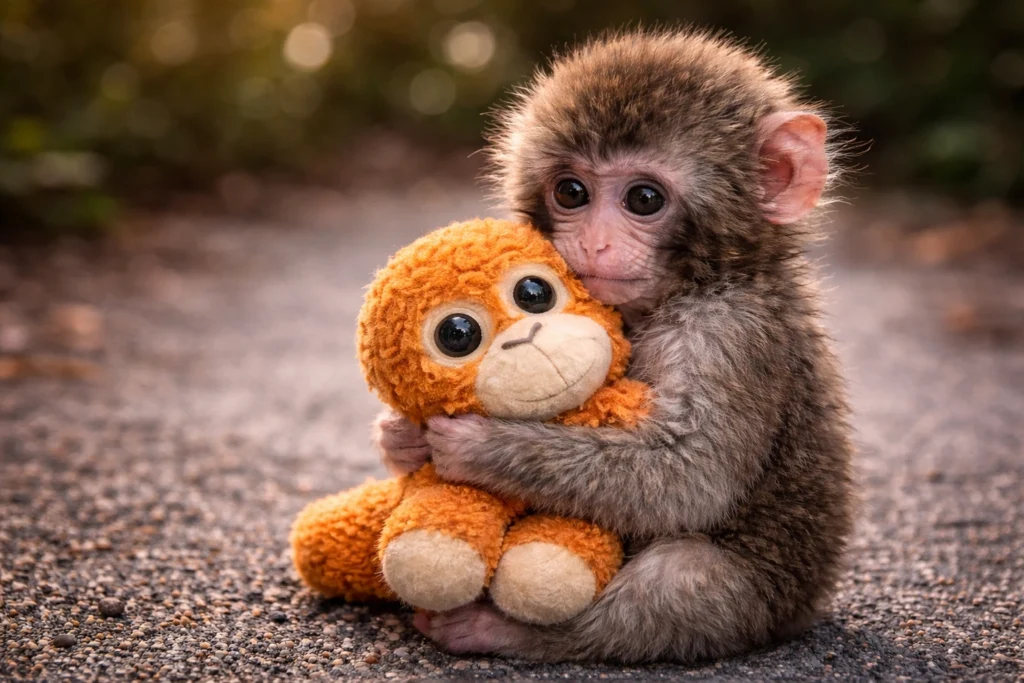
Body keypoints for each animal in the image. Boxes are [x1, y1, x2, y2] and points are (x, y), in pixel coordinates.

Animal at [374, 29, 855, 663]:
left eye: (644, 199)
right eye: (572, 191)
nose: (595, 244)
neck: (699, 283)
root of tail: (802, 611)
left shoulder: (729, 334)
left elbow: (690, 478)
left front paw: (478, 446)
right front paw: (400, 437)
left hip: (768, 603)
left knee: (683, 575)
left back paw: (519, 633)